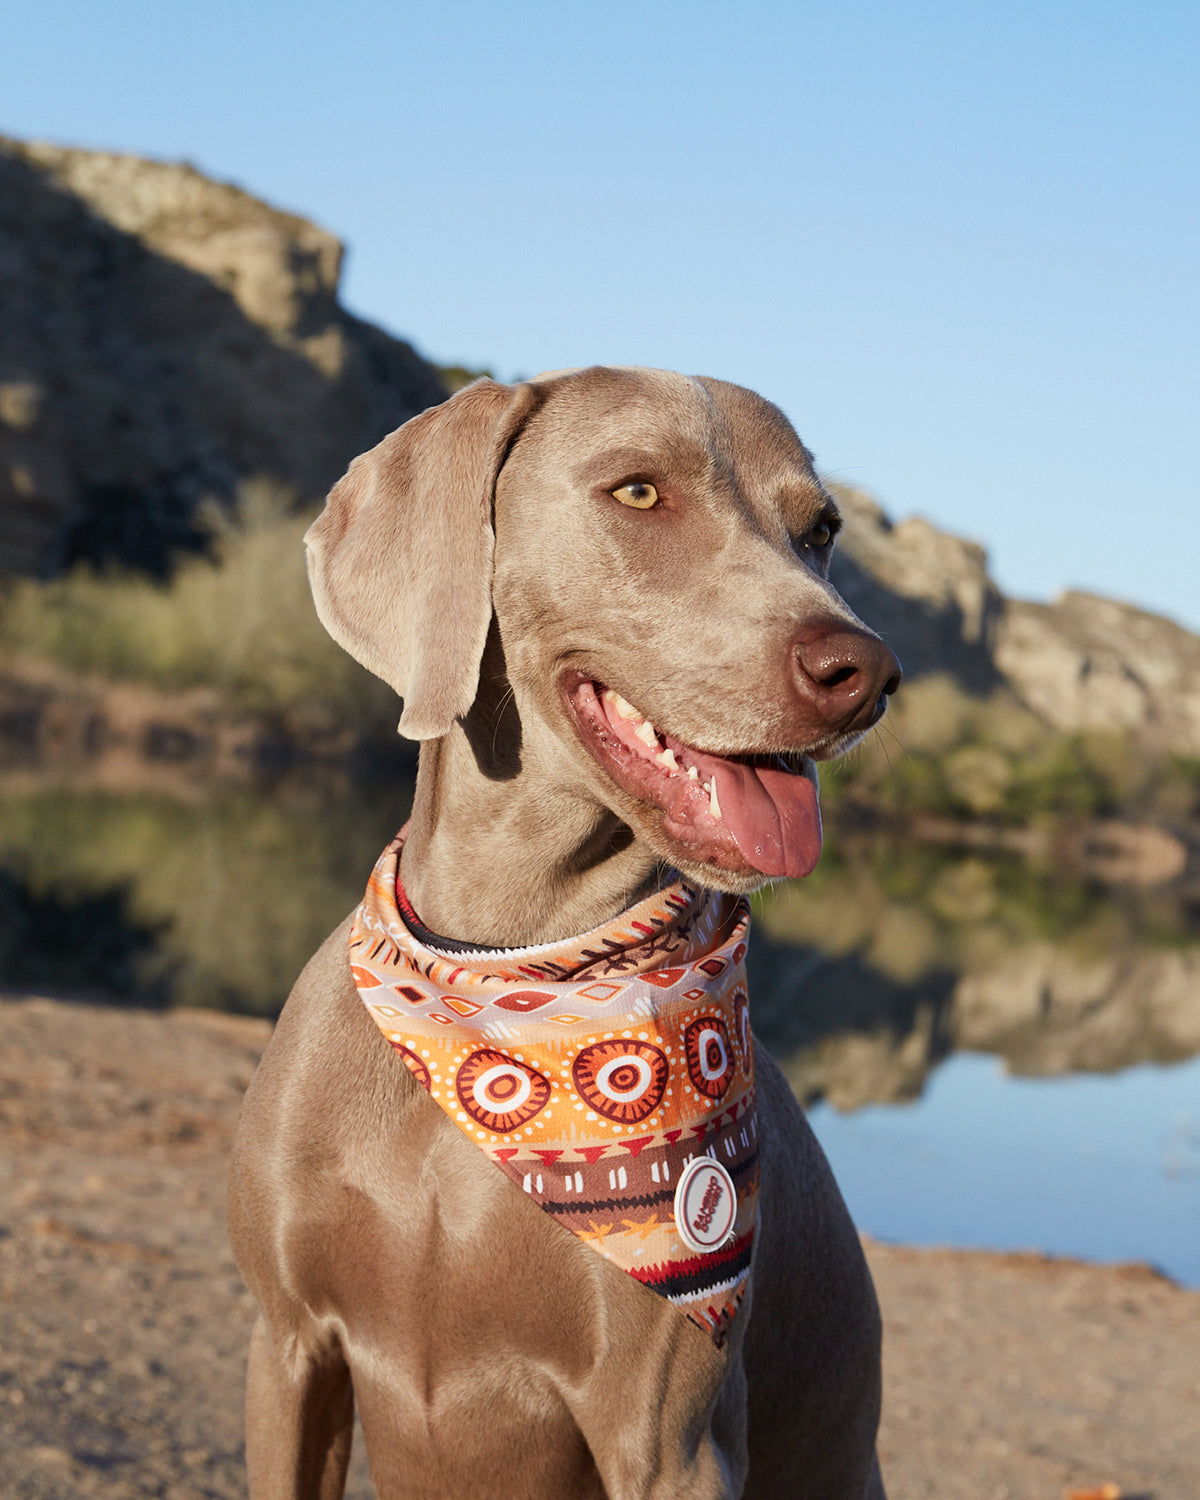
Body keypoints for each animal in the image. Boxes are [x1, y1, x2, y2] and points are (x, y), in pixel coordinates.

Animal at [228, 366, 900, 1500]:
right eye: (638, 493)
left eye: (820, 530)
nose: (863, 670)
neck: (506, 976)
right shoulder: (288, 1350)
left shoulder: (668, 1436)